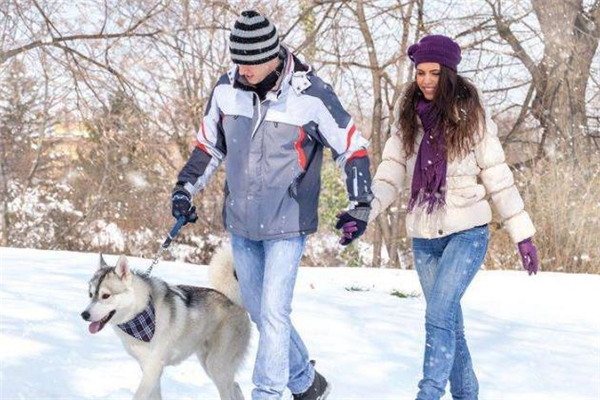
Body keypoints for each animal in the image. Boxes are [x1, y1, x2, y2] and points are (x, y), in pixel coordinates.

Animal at [80, 247, 248, 400]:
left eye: (105, 296)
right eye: (90, 294)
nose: (84, 315)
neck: (139, 312)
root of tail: (233, 301)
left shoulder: (153, 369)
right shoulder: (149, 369)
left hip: (216, 366)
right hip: (209, 364)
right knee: (236, 386)